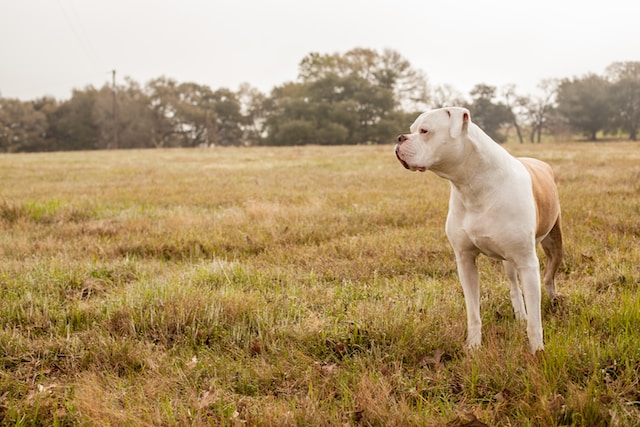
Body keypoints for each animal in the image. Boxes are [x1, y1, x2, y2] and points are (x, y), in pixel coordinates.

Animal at [392, 108, 564, 354]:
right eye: (412, 129)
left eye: (424, 131)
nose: (399, 138)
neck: (472, 184)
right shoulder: (465, 261)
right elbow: (473, 312)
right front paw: (473, 347)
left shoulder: (528, 262)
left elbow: (535, 321)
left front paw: (537, 351)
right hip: (508, 260)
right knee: (514, 286)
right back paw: (520, 315)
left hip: (553, 244)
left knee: (549, 277)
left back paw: (554, 302)